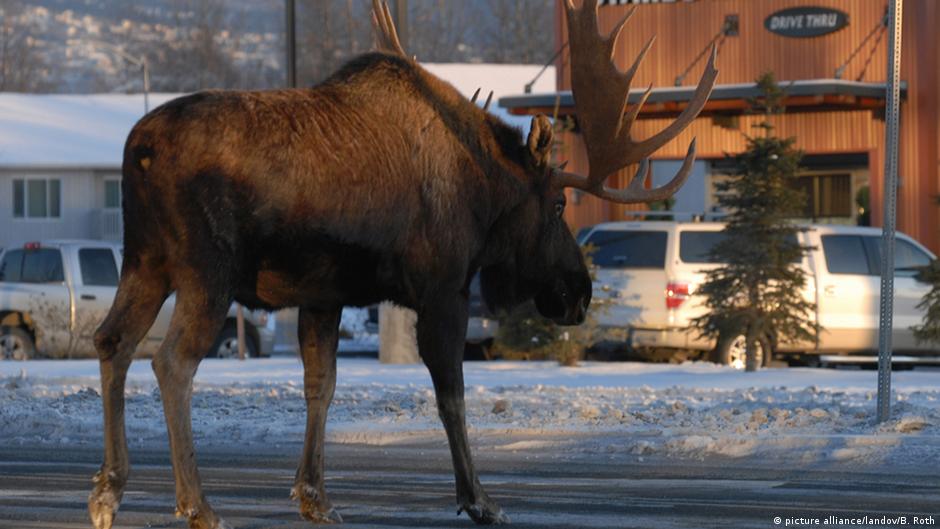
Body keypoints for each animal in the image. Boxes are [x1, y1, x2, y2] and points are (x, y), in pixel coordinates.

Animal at [87, 1, 716, 527]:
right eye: (559, 204)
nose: (578, 292)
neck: (482, 192)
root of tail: (139, 150)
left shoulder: (323, 295)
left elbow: (322, 386)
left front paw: (316, 497)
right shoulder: (443, 289)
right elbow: (451, 395)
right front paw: (479, 499)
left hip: (144, 260)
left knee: (112, 340)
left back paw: (108, 490)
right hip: (206, 270)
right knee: (171, 361)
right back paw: (197, 504)